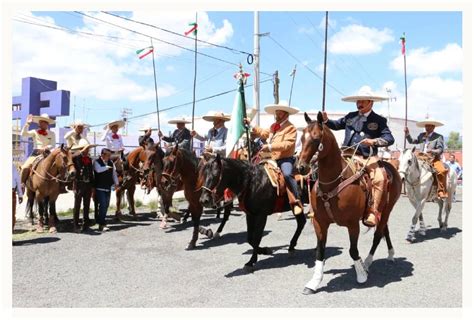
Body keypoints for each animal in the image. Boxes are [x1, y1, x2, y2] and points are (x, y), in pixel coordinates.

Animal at [298, 112, 402, 296]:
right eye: (302, 137)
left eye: (316, 139)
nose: (301, 167)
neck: (333, 183)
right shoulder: (319, 222)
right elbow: (320, 251)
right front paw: (314, 282)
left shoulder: (353, 224)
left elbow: (353, 250)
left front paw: (361, 275)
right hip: (382, 211)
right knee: (385, 231)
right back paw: (390, 254)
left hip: (387, 209)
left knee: (378, 235)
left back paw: (367, 263)